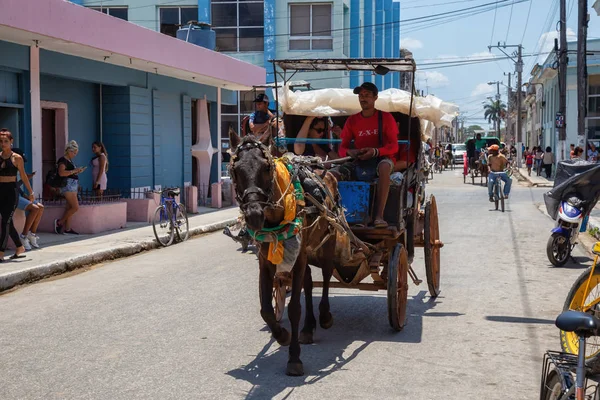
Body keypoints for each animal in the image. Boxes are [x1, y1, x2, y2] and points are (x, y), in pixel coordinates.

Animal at [229, 127, 342, 376]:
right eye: (235, 170)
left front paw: (294, 358)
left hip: (328, 240)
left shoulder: (298, 259)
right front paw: (282, 335)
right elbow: (266, 309)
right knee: (309, 282)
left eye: (266, 167)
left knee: (326, 275)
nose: (253, 215)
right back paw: (308, 328)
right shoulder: (265, 261)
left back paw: (325, 316)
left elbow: (294, 309)